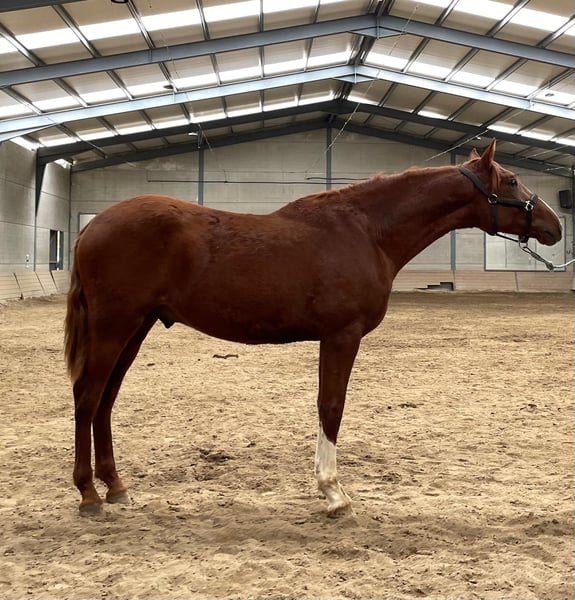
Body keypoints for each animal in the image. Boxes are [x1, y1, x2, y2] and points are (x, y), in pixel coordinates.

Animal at [65, 139, 562, 516]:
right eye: (512, 180)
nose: (555, 226)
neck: (367, 231)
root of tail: (91, 227)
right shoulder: (342, 335)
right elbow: (331, 407)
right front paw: (334, 493)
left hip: (137, 327)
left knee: (106, 399)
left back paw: (116, 486)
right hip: (116, 326)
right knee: (88, 397)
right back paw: (89, 495)